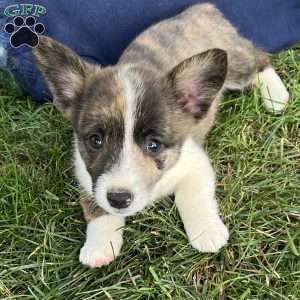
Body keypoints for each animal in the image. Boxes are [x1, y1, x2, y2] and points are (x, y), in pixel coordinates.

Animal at [32, 3, 288, 268]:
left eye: (153, 145)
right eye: (96, 141)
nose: (119, 199)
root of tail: (201, 8)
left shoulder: (195, 163)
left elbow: (192, 196)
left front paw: (207, 231)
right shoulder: (88, 176)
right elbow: (96, 208)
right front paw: (99, 245)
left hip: (237, 66)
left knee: (259, 58)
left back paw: (275, 96)